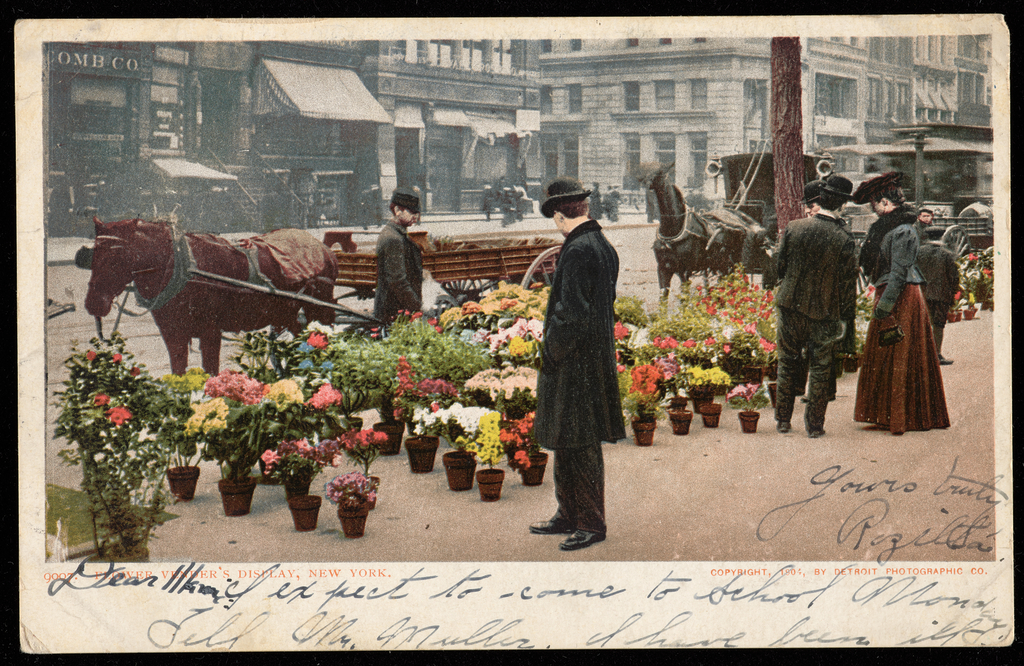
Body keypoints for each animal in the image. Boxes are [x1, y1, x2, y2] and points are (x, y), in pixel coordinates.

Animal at [86, 216, 337, 372]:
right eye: (92, 255)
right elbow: (178, 373)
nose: (92, 304)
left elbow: (211, 374)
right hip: (286, 314)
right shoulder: (173, 334)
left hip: (319, 308)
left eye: (118, 256)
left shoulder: (210, 332)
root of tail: (324, 248)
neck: (181, 269)